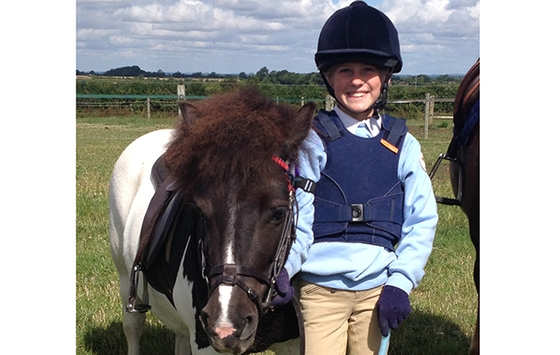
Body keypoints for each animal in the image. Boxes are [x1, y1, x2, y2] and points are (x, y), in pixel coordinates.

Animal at [109, 87, 316, 355]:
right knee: (133, 328)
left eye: (279, 213)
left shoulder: (291, 344)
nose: (227, 323)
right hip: (126, 283)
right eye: (201, 211)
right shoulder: (205, 344)